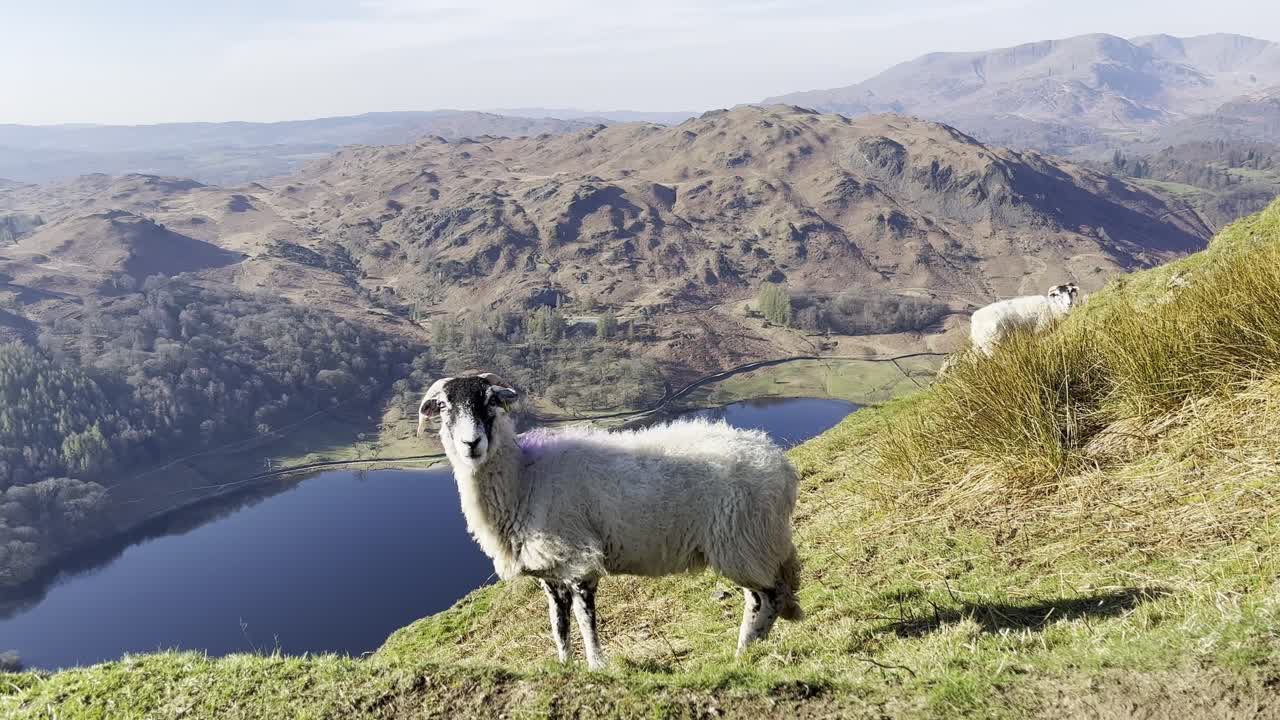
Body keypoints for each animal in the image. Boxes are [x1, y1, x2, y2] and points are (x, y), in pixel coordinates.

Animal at [418, 373, 803, 670]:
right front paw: (565, 667)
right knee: (768, 596)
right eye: (445, 406)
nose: (471, 444)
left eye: (490, 401)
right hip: (755, 544)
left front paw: (596, 667)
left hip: (742, 542)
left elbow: (586, 622)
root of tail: (778, 464)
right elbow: (559, 625)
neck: (525, 478)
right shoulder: (550, 572)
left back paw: (744, 653)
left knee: (767, 597)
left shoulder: (579, 562)